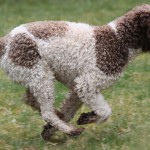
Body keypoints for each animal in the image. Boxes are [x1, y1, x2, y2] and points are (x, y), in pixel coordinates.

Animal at [0, 3, 149, 139]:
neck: (119, 40)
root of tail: (5, 42)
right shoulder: (86, 85)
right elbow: (105, 111)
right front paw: (87, 118)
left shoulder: (77, 90)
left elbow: (69, 111)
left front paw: (49, 130)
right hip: (40, 75)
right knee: (46, 113)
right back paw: (71, 130)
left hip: (34, 77)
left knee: (31, 100)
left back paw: (59, 118)